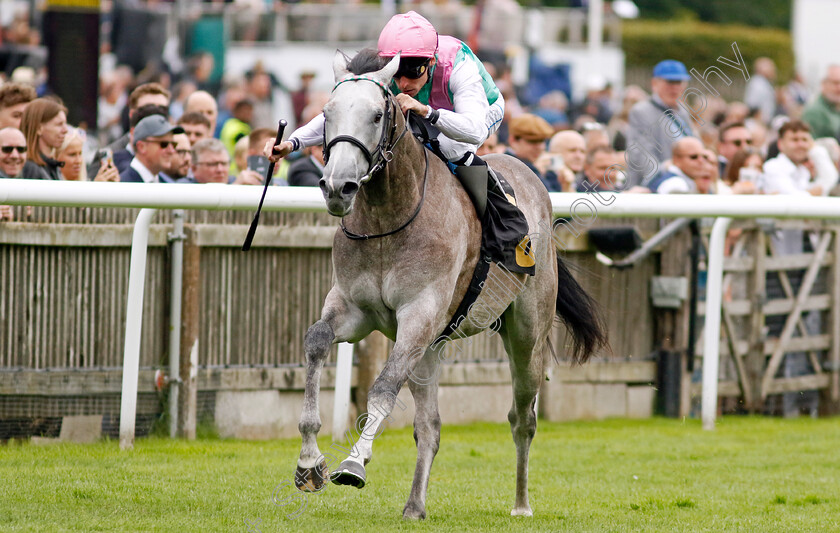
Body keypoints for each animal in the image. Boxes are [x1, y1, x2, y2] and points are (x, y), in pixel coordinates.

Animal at [292, 51, 608, 520]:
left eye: (376, 114)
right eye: (326, 114)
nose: (337, 186)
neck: (389, 219)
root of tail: (532, 176)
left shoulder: (419, 315)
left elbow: (382, 388)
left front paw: (353, 462)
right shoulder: (355, 309)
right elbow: (316, 340)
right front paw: (310, 462)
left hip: (526, 334)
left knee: (523, 419)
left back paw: (521, 504)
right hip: (432, 347)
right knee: (430, 427)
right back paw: (414, 506)